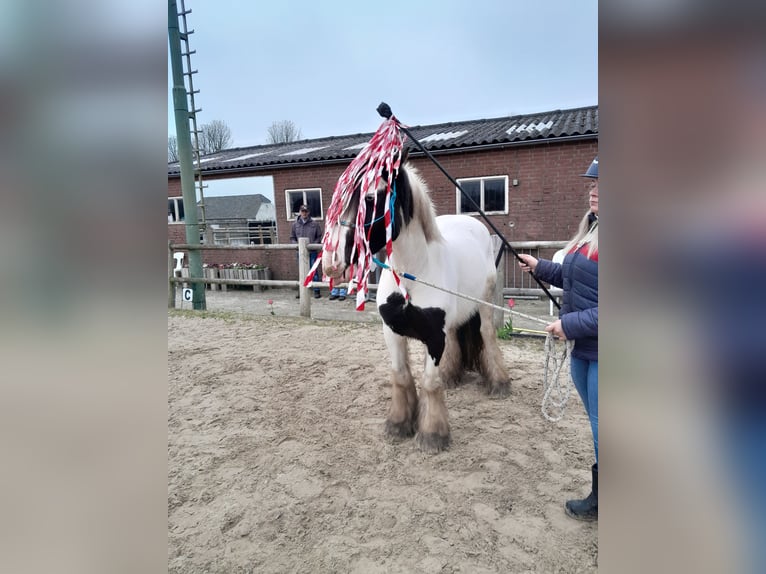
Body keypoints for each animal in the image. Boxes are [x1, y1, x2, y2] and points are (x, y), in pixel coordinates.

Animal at [322, 154, 510, 454]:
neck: (410, 277)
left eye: (371, 197)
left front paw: (433, 434)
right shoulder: (392, 333)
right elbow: (400, 376)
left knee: (487, 336)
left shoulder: (434, 338)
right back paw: (452, 376)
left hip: (483, 305)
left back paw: (499, 383)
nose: (331, 261)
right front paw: (399, 425)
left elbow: (430, 382)